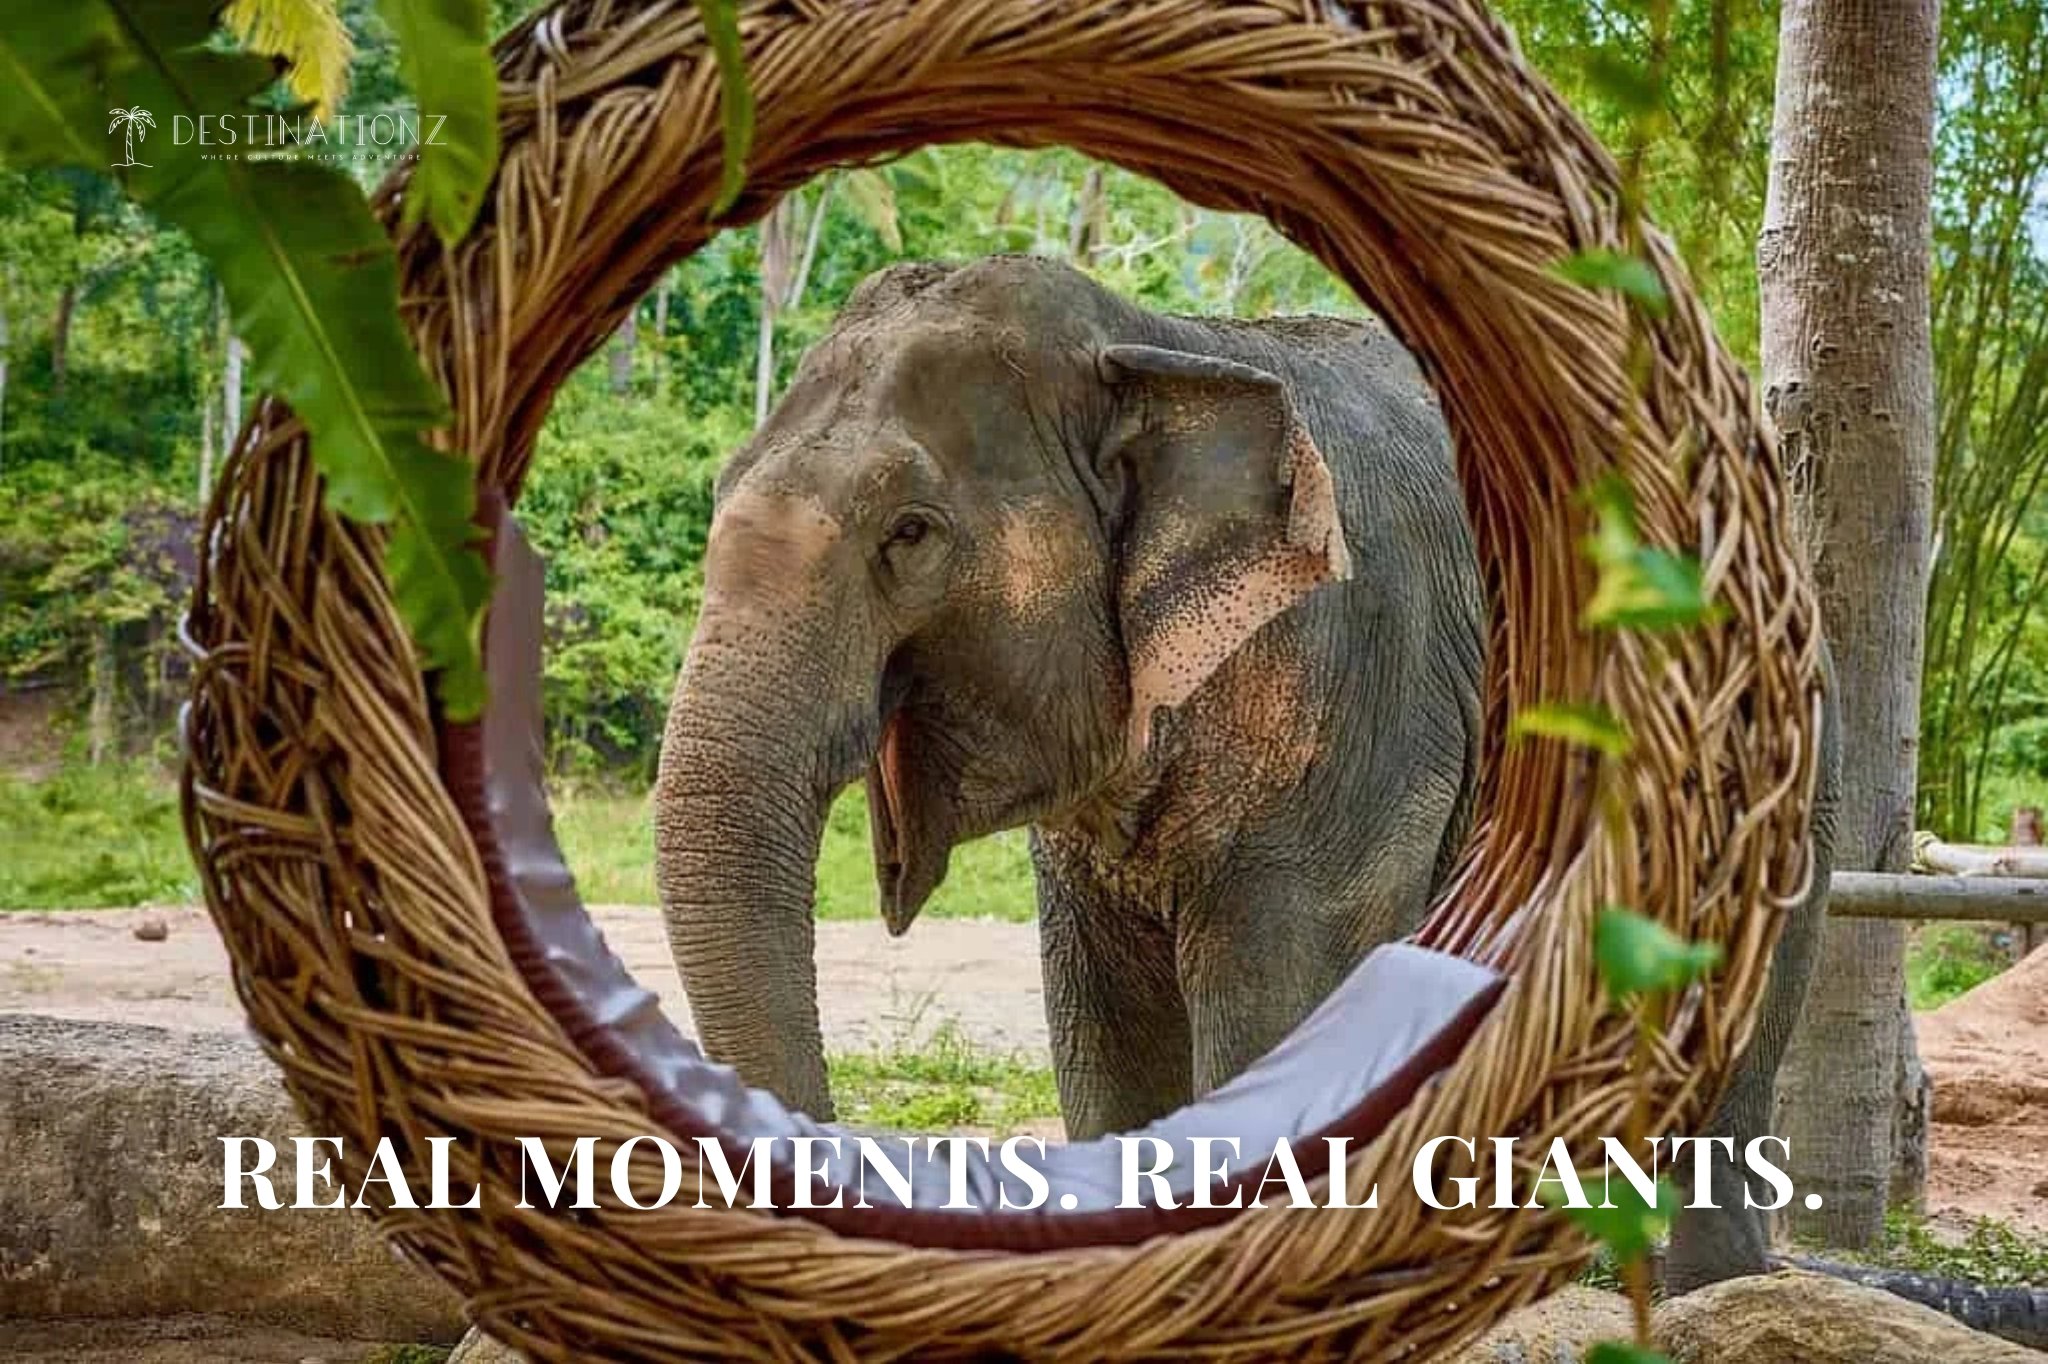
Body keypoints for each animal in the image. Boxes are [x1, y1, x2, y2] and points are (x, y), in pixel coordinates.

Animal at [654, 252, 1836, 1290]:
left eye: (910, 531)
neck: (1161, 343)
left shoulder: (1354, 702)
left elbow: (1271, 1016)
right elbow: (1109, 1035)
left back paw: (1705, 1289)